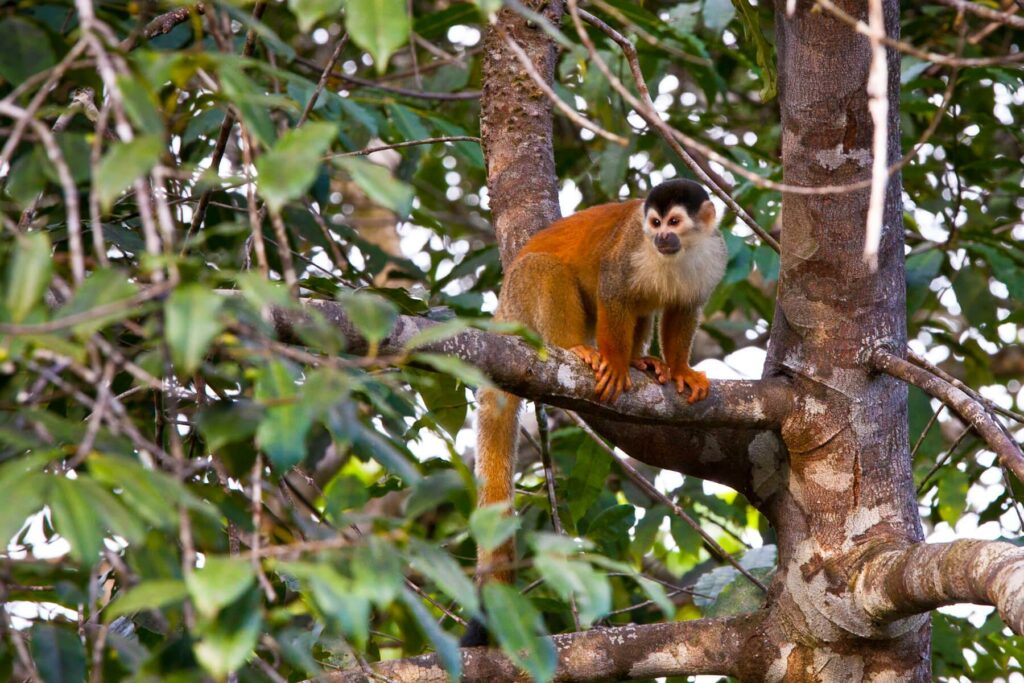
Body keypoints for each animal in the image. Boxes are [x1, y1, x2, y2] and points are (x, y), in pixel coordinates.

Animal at [466, 180, 729, 643]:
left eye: (674, 222)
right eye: (654, 223)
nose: (661, 237)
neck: (678, 253)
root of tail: (501, 311)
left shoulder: (710, 257)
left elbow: (682, 308)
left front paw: (678, 369)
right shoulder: (629, 249)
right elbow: (613, 292)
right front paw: (614, 362)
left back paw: (644, 361)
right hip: (522, 302)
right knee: (545, 270)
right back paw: (578, 348)